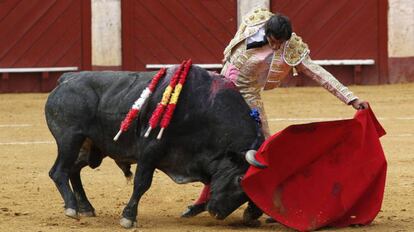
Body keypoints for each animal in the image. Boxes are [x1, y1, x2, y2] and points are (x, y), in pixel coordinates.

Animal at [45, 65, 266, 228]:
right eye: (239, 179)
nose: (217, 213)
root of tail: (67, 78)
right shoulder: (150, 151)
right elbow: (142, 183)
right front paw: (128, 217)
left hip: (91, 147)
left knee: (73, 169)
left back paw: (85, 208)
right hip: (70, 138)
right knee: (58, 171)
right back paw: (72, 208)